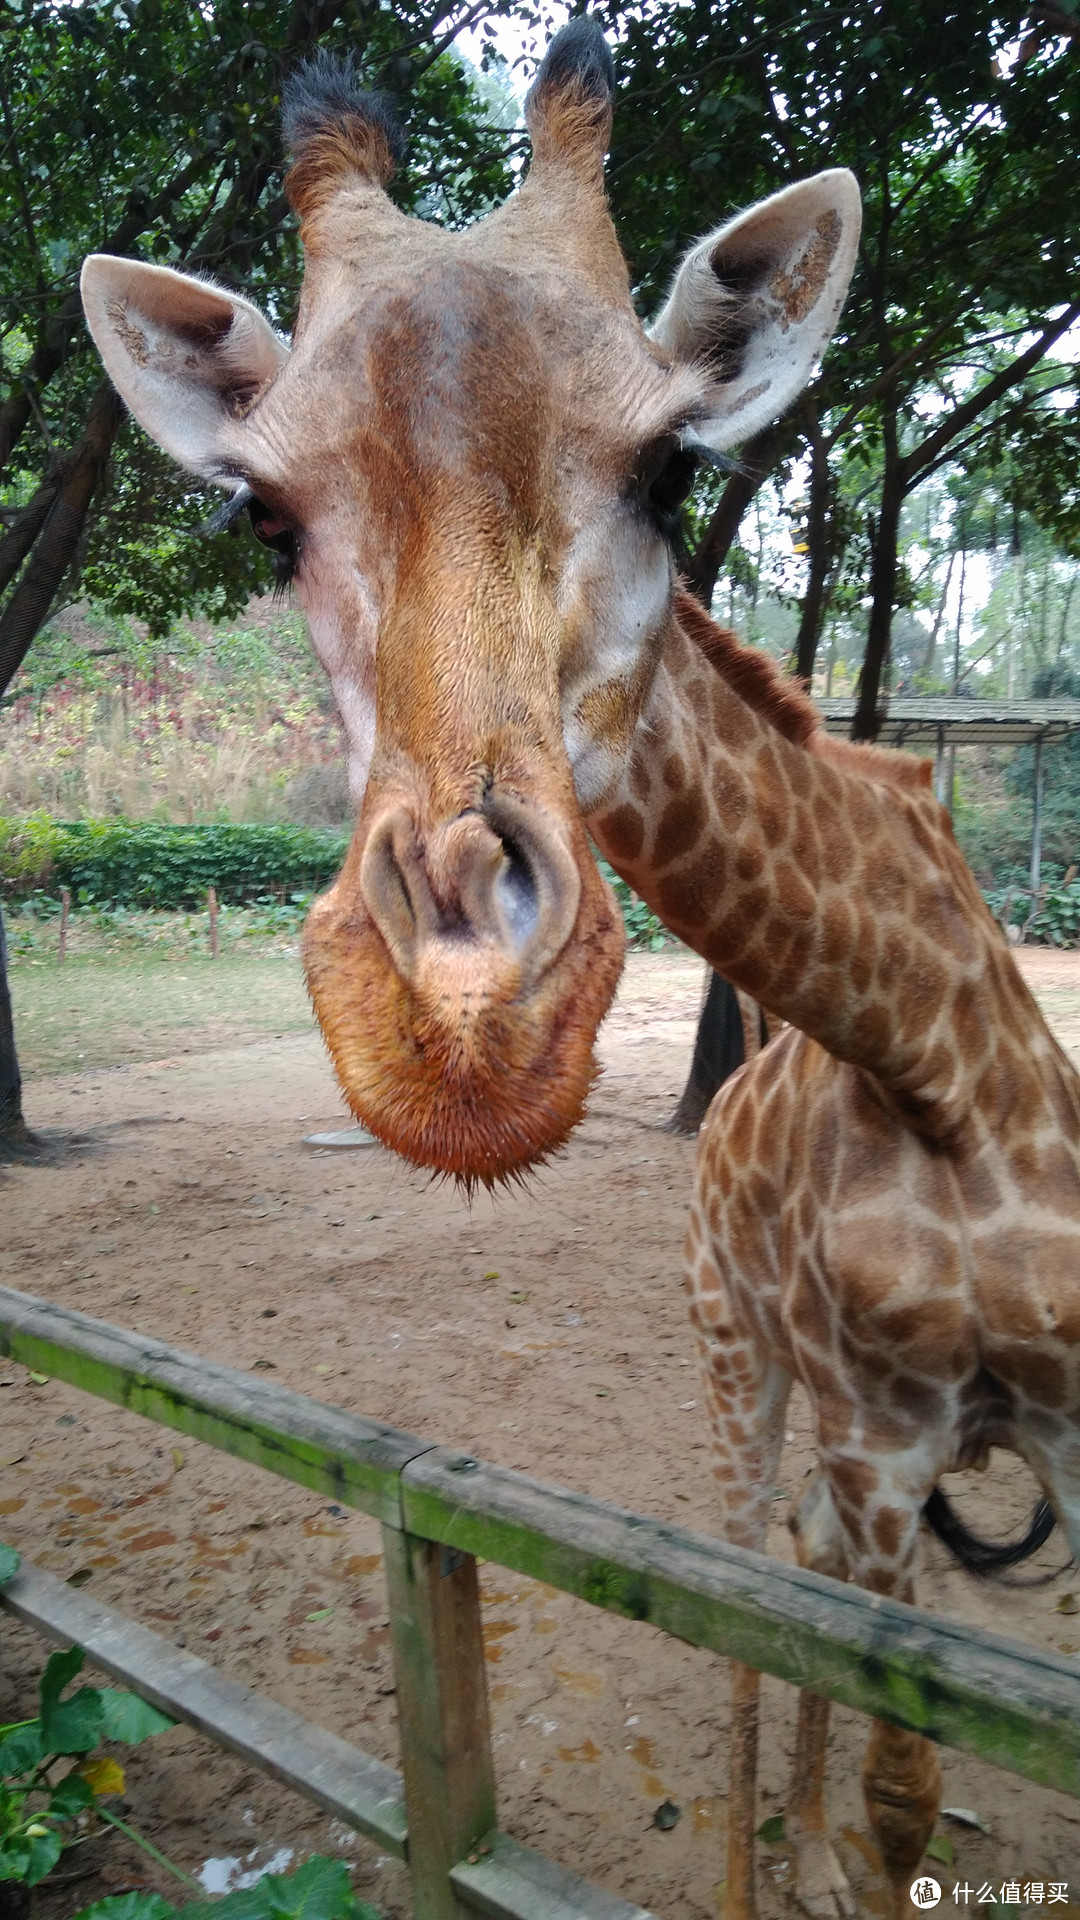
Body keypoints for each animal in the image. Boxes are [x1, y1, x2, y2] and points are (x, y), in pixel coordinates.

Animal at [588, 591, 1076, 1920]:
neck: (931, 1067)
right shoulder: (885, 1438)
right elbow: (904, 1790)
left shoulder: (1067, 1428)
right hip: (735, 1352)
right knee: (748, 1580)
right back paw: (754, 1883)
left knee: (810, 1568)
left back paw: (807, 1854)